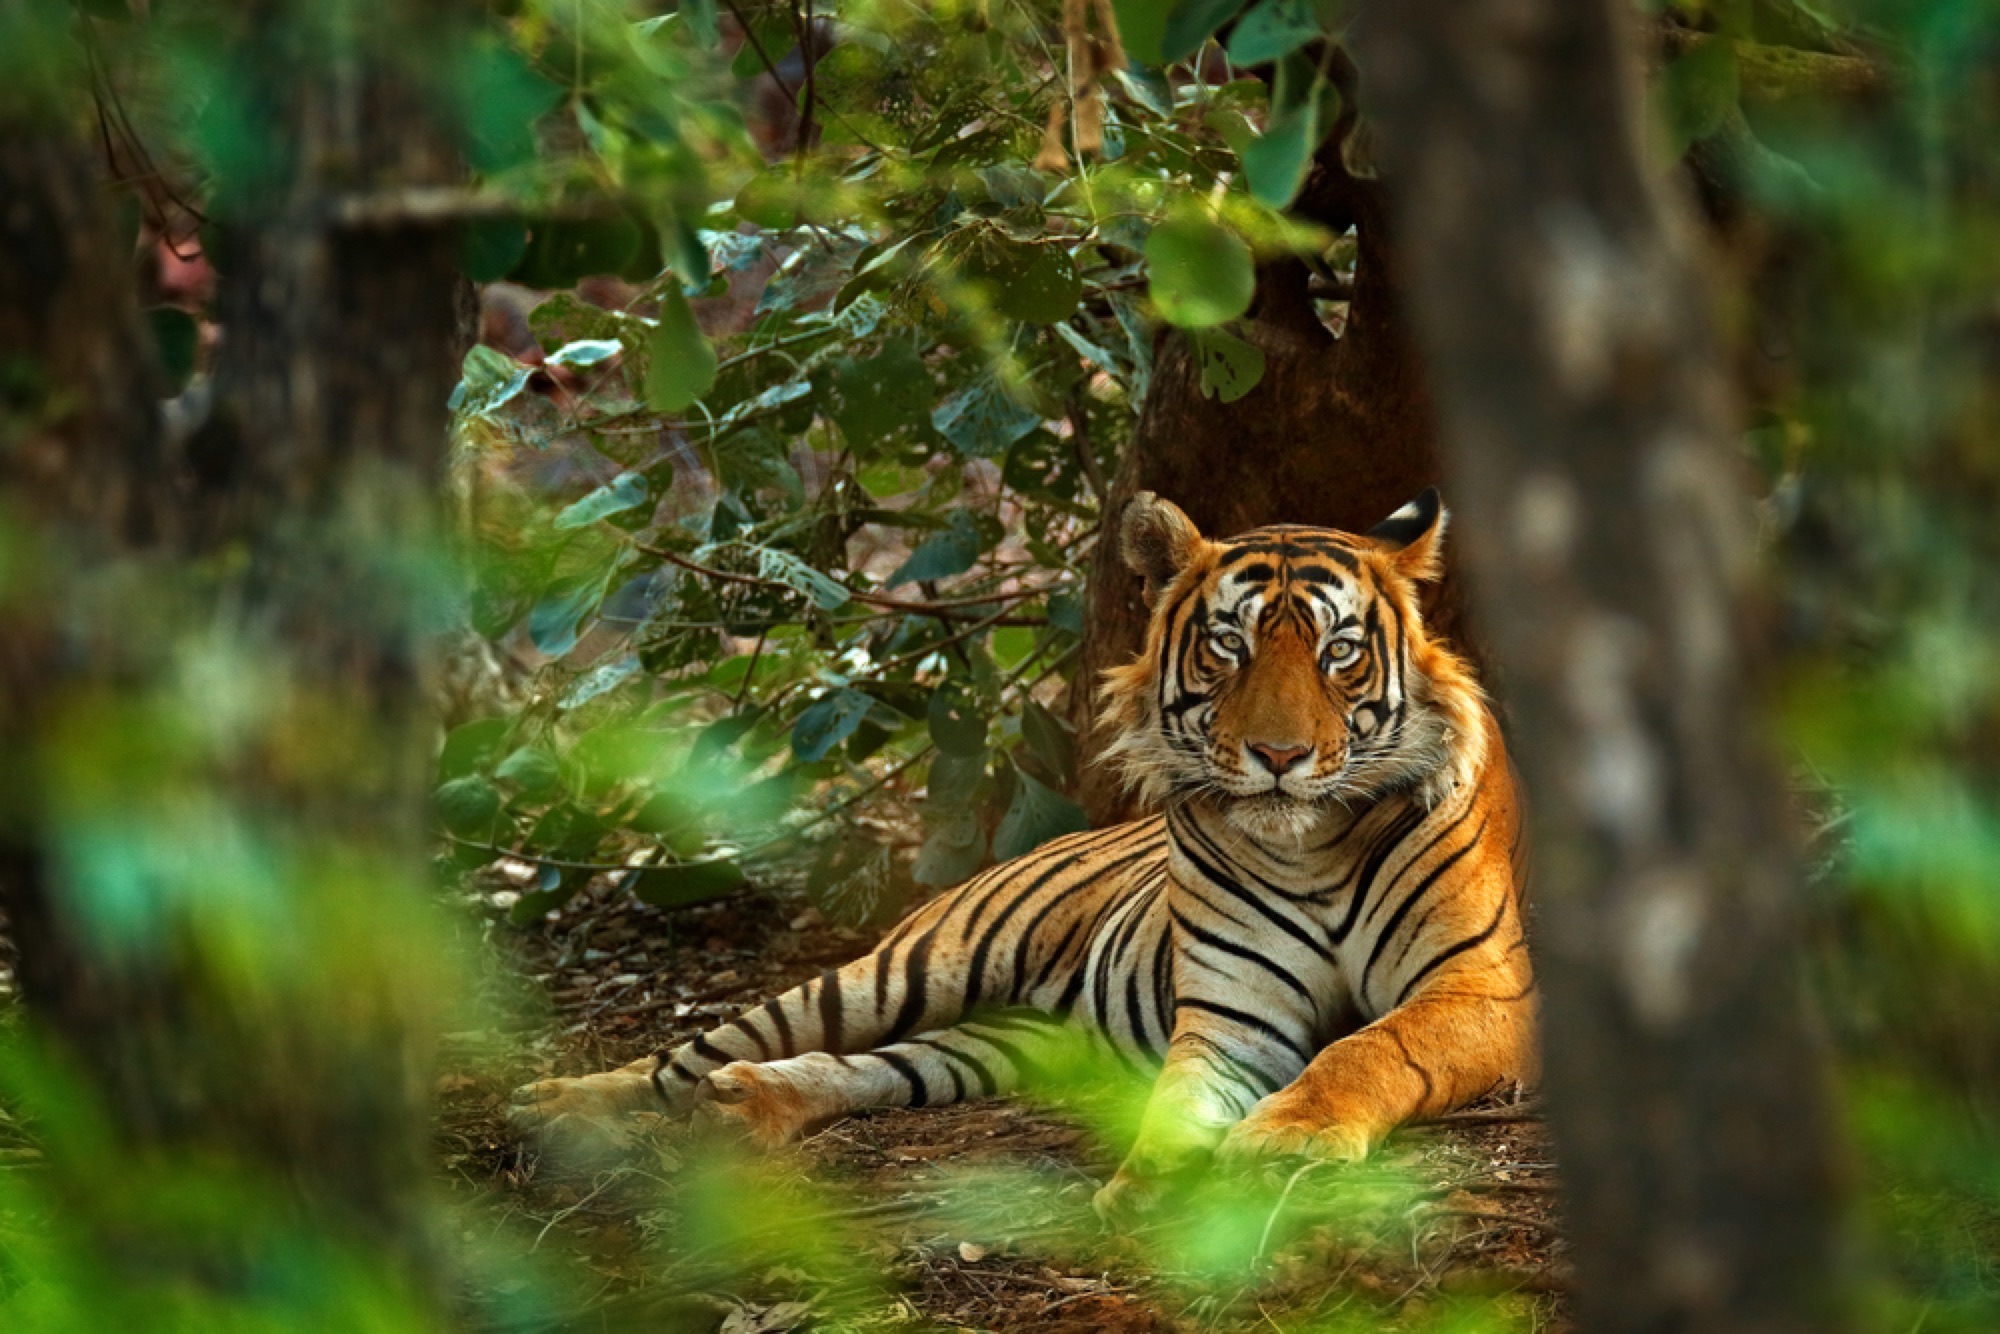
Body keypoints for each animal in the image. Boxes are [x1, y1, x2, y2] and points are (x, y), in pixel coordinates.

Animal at [510, 489, 1536, 1216]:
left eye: (1339, 653)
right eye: (1228, 646)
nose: (1278, 756)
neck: (1310, 847)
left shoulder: (1482, 988)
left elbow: (1369, 1048)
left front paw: (1285, 1140)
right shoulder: (1232, 1017)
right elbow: (1179, 1101)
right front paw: (1153, 1186)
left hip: (1008, 1041)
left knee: (878, 1067)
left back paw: (747, 1105)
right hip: (904, 970)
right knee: (694, 1052)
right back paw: (561, 1105)